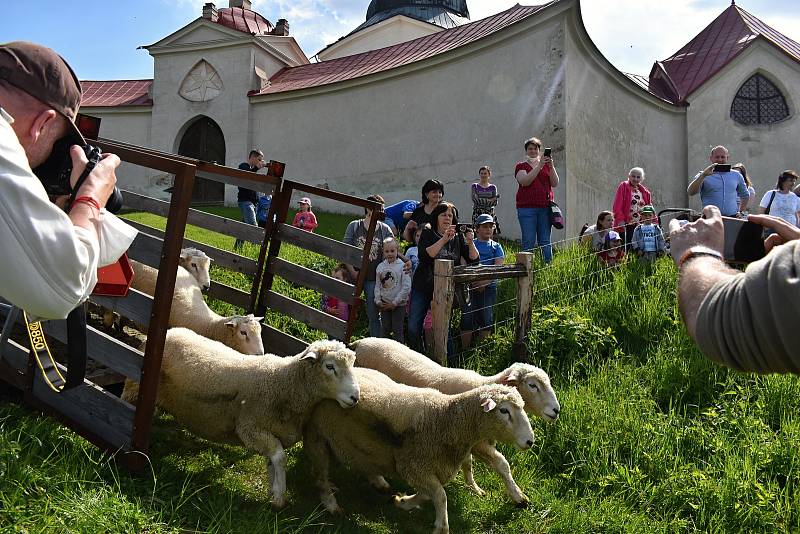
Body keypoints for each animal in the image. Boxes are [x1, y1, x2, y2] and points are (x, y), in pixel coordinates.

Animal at [304, 368, 532, 534]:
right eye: (504, 410)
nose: (530, 441)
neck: (445, 418)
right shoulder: (414, 466)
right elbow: (440, 496)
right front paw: (441, 527)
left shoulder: (425, 471)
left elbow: (427, 495)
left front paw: (403, 502)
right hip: (317, 436)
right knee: (320, 474)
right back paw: (331, 504)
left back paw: (377, 480)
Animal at [354, 340, 560, 506]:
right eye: (532, 385)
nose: (556, 410)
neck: (482, 386)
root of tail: (360, 342)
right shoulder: (476, 442)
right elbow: (502, 464)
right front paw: (518, 497)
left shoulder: (468, 438)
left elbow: (468, 463)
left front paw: (474, 488)